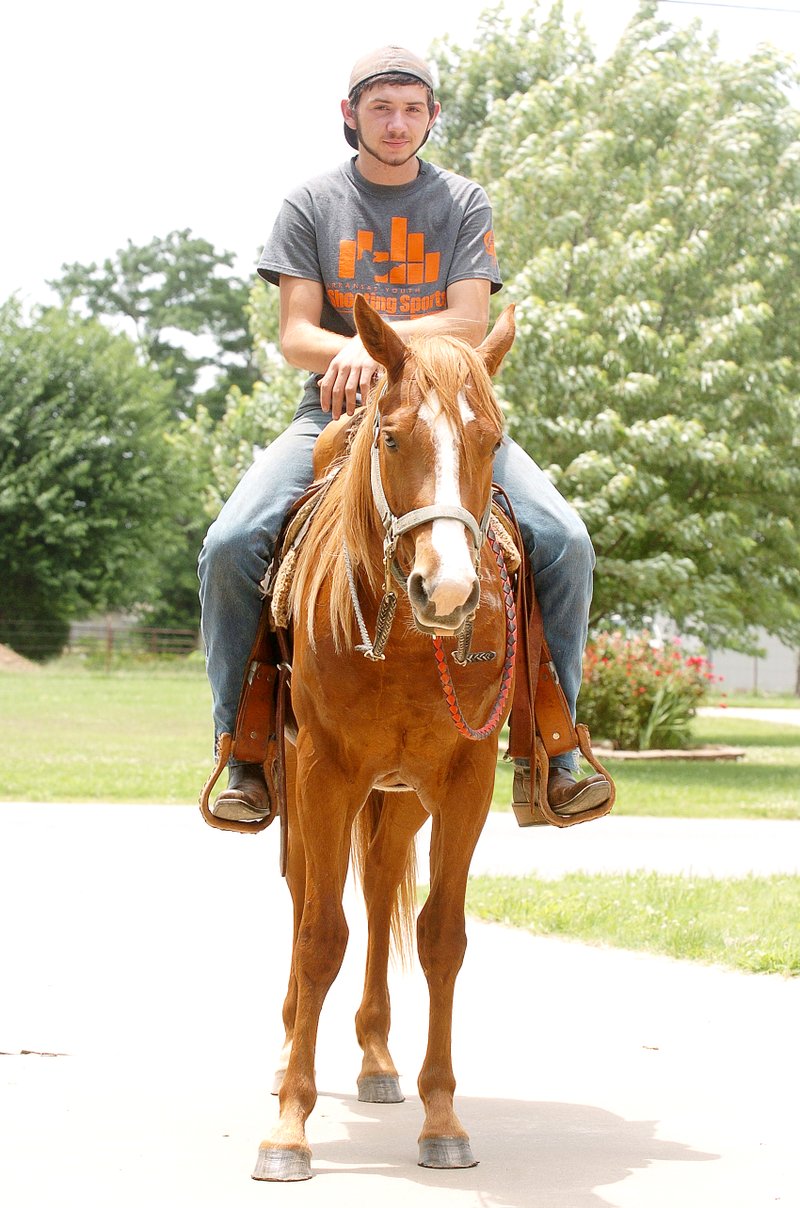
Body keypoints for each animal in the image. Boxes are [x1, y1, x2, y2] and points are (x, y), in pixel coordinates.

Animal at [257, 297, 519, 1183]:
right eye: (396, 437)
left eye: (491, 438)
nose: (449, 588)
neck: (405, 642)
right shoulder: (325, 773)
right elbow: (316, 937)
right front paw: (289, 1127)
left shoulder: (466, 780)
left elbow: (441, 936)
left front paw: (443, 1120)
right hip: (303, 787)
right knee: (311, 894)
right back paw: (287, 1054)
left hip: (400, 799)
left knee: (375, 889)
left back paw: (376, 1059)